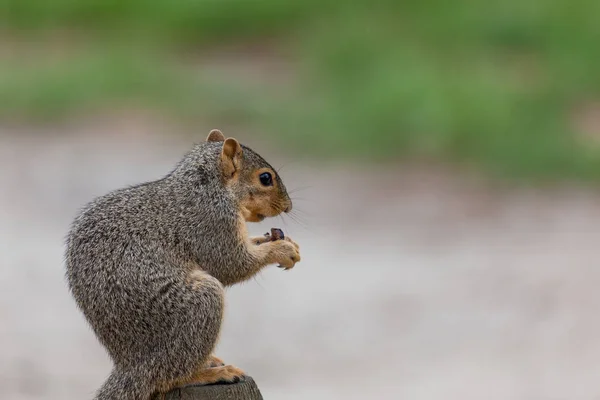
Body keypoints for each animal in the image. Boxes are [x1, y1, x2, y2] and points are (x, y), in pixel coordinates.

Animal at [65, 130, 302, 398]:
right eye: (265, 178)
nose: (288, 206)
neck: (207, 186)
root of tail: (132, 366)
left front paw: (280, 241)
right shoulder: (210, 222)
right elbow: (231, 264)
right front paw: (280, 250)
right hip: (197, 305)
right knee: (169, 377)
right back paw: (212, 373)